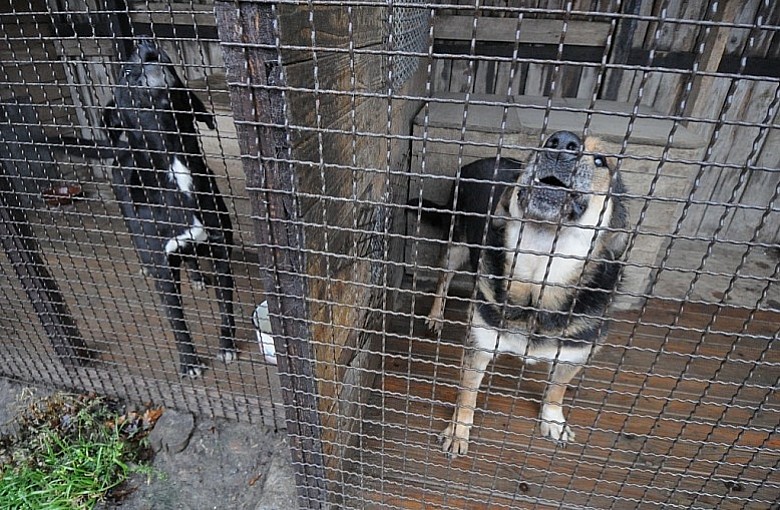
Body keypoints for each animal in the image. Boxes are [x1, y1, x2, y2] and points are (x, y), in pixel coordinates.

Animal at [54, 38, 235, 374]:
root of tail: (122, 148)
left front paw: (227, 346)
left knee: (191, 258)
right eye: (125, 71)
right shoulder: (163, 266)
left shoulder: (219, 247)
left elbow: (226, 305)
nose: (143, 43)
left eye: (167, 59)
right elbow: (177, 319)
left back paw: (196, 277)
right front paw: (189, 361)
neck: (175, 162)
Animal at [438, 130, 628, 454]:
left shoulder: (577, 353)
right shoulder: (480, 342)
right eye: (540, 145)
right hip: (457, 243)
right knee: (443, 276)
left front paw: (553, 419)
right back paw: (435, 316)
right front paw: (458, 431)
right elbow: (467, 393)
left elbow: (557, 389)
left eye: (601, 160)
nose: (561, 142)